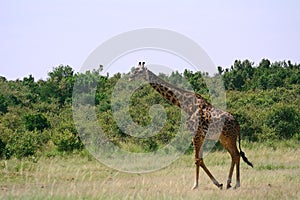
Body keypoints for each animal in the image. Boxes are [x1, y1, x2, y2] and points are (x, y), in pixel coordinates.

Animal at [130, 61, 252, 190]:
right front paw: (218, 183)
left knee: (236, 155)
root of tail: (238, 125)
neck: (186, 105)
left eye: (138, 71)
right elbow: (200, 159)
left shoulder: (196, 134)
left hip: (229, 138)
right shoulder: (200, 135)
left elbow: (197, 159)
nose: (130, 77)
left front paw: (196, 185)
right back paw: (229, 183)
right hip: (223, 139)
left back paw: (236, 183)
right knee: (234, 155)